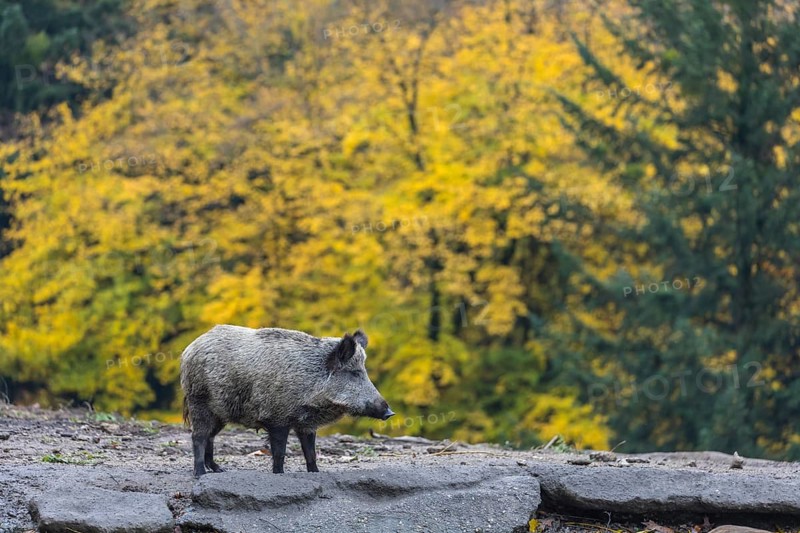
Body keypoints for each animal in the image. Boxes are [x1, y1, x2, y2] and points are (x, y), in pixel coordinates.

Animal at [180, 325, 394, 477]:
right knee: (198, 436)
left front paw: (315, 473)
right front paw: (279, 474)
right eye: (355, 373)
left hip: (220, 413)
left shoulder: (306, 425)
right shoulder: (277, 418)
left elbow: (310, 452)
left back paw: (218, 470)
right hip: (199, 402)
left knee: (210, 437)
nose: (389, 412)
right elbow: (280, 452)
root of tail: (189, 350)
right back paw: (200, 474)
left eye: (364, 371)